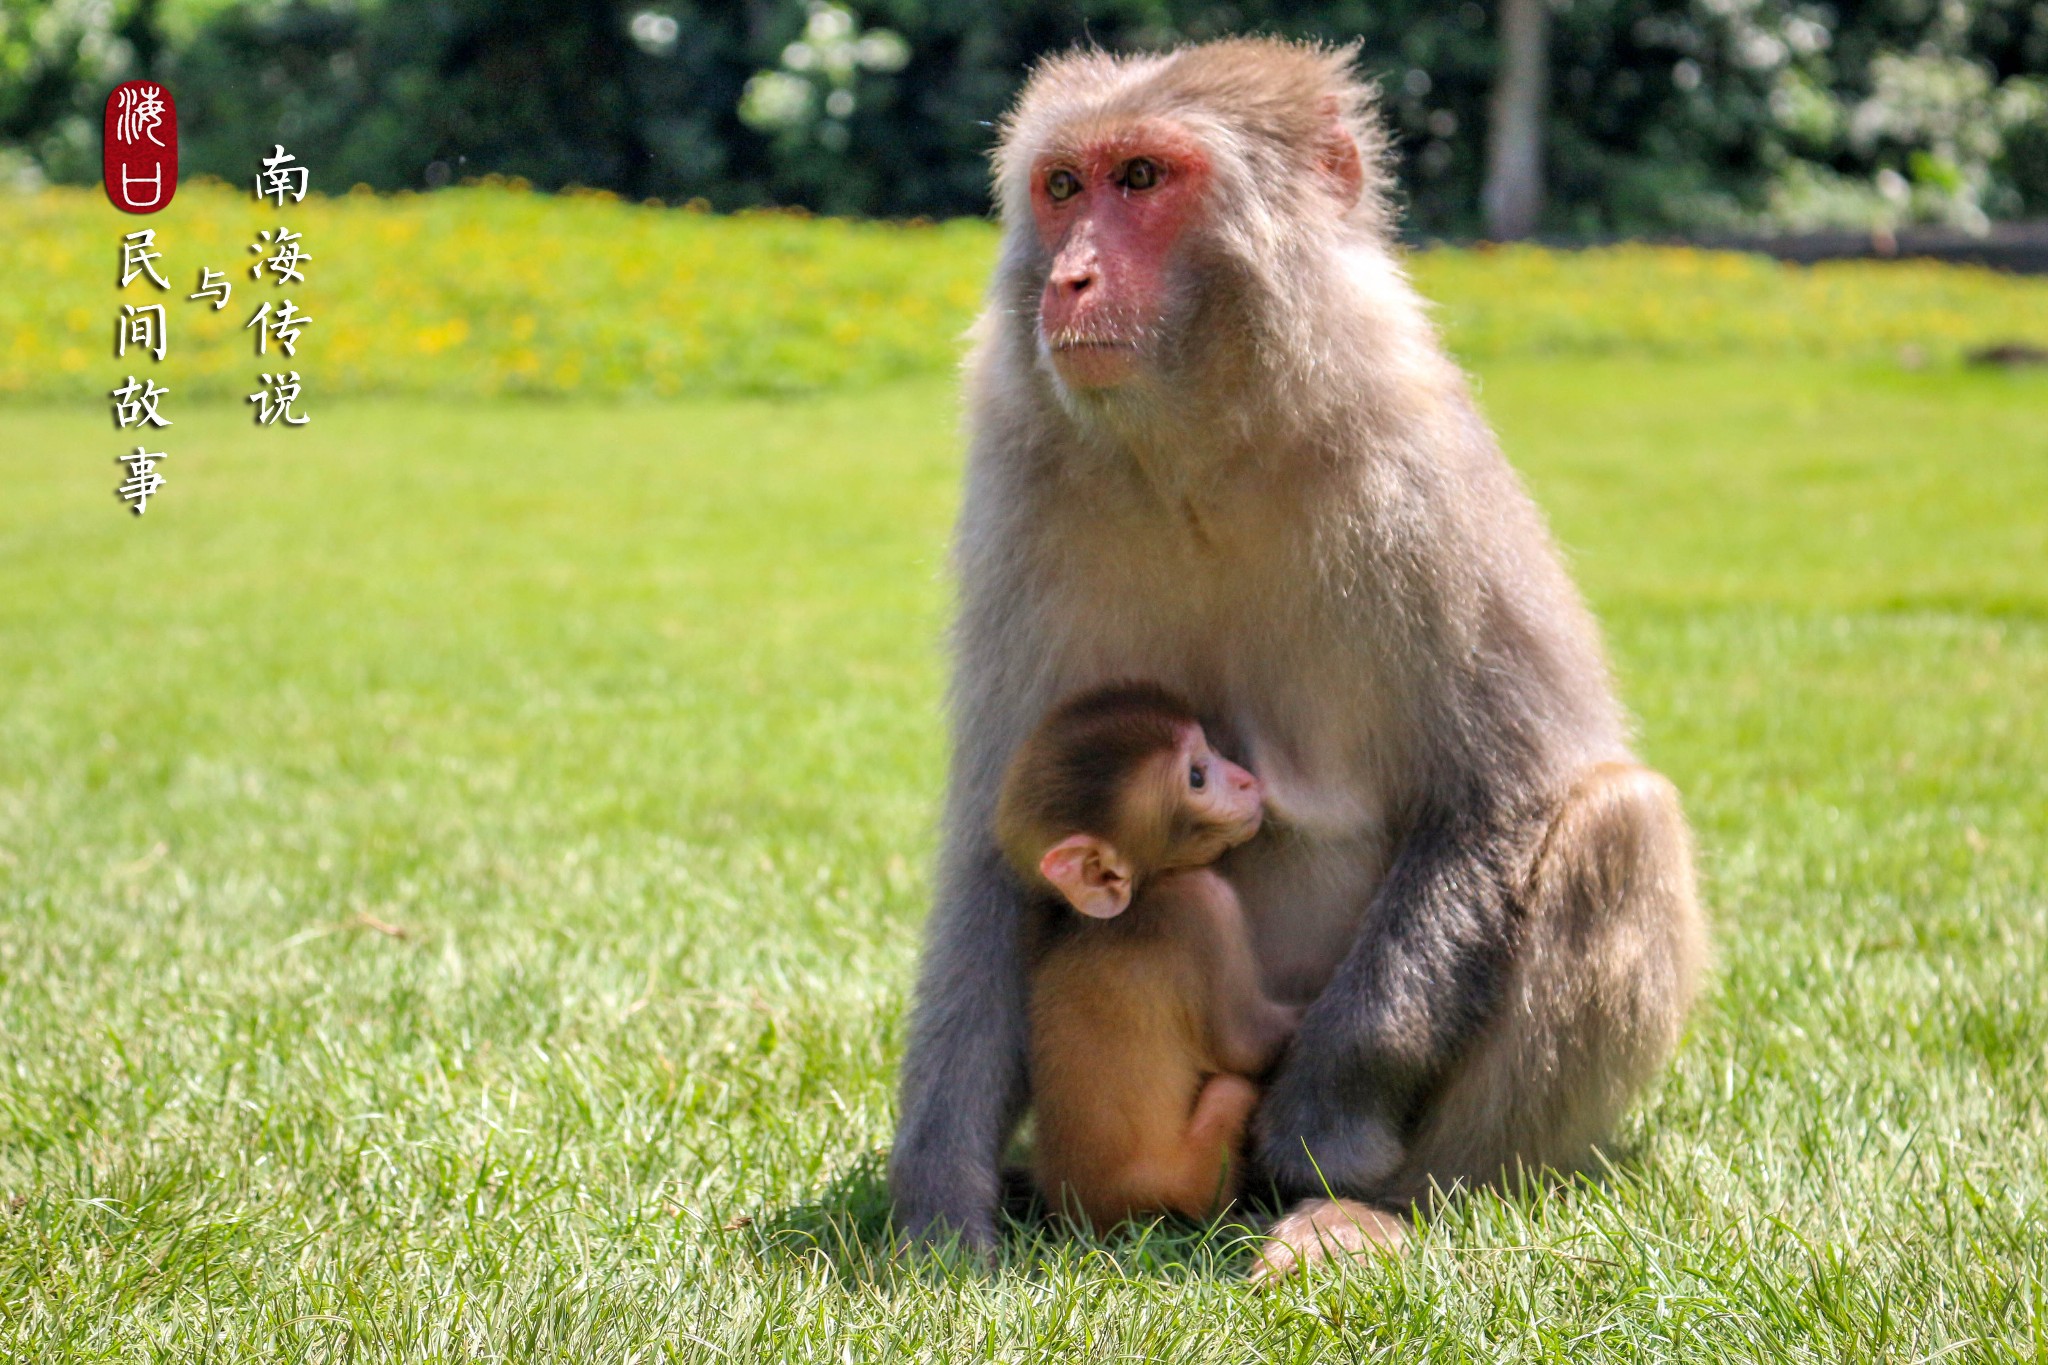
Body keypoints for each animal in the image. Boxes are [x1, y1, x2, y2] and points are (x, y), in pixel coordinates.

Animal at [991, 683, 1294, 1227]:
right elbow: (1242, 1043)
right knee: (1230, 1089)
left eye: (1209, 748)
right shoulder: (1202, 906)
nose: (1246, 780)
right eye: (1197, 776)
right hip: (1187, 1179)